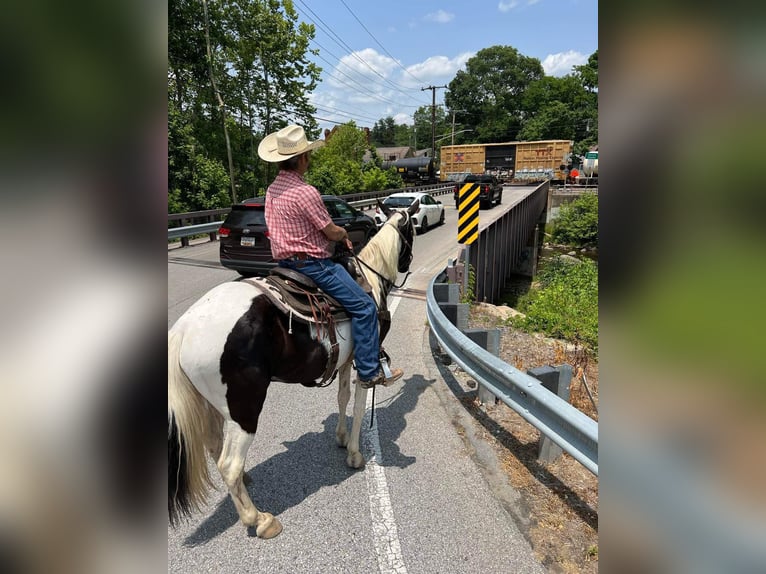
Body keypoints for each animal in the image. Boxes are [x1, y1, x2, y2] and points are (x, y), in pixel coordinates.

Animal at [170, 199, 420, 540]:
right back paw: (259, 519)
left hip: (213, 405)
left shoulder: (345, 362)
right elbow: (359, 405)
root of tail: (184, 327)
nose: (407, 263)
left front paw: (341, 438)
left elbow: (342, 398)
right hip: (244, 407)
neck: (369, 278)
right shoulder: (363, 361)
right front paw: (355, 454)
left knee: (215, 446)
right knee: (228, 464)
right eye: (414, 229)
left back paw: (246, 484)